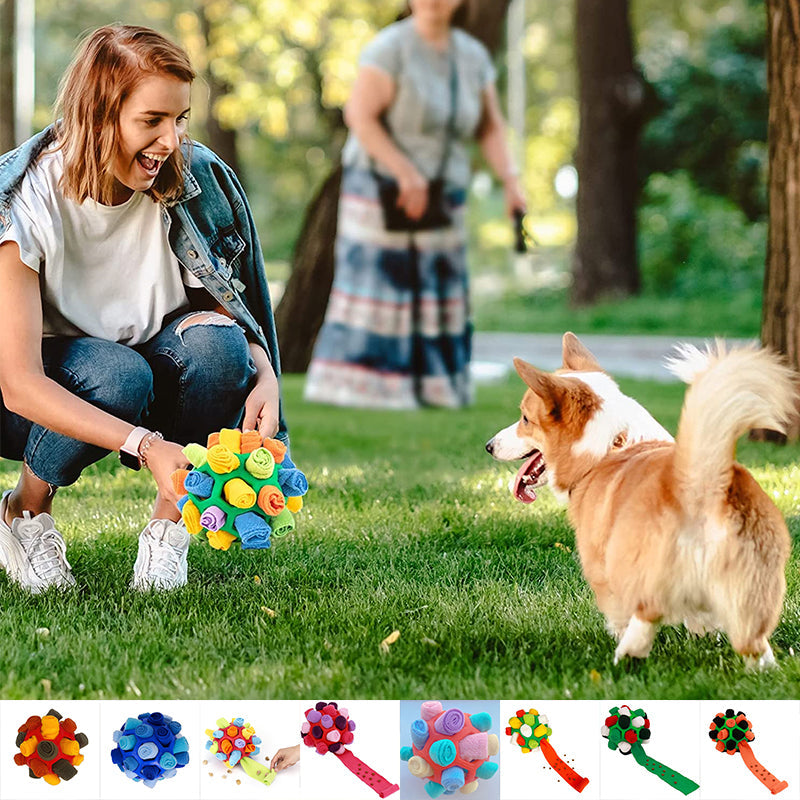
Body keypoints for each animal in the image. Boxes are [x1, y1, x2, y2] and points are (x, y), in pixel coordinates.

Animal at [484, 332, 796, 668]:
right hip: (753, 586)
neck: (609, 447)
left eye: (525, 419)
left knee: (646, 614)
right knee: (753, 641)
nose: (489, 446)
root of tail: (700, 482)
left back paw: (626, 657)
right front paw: (703, 638)